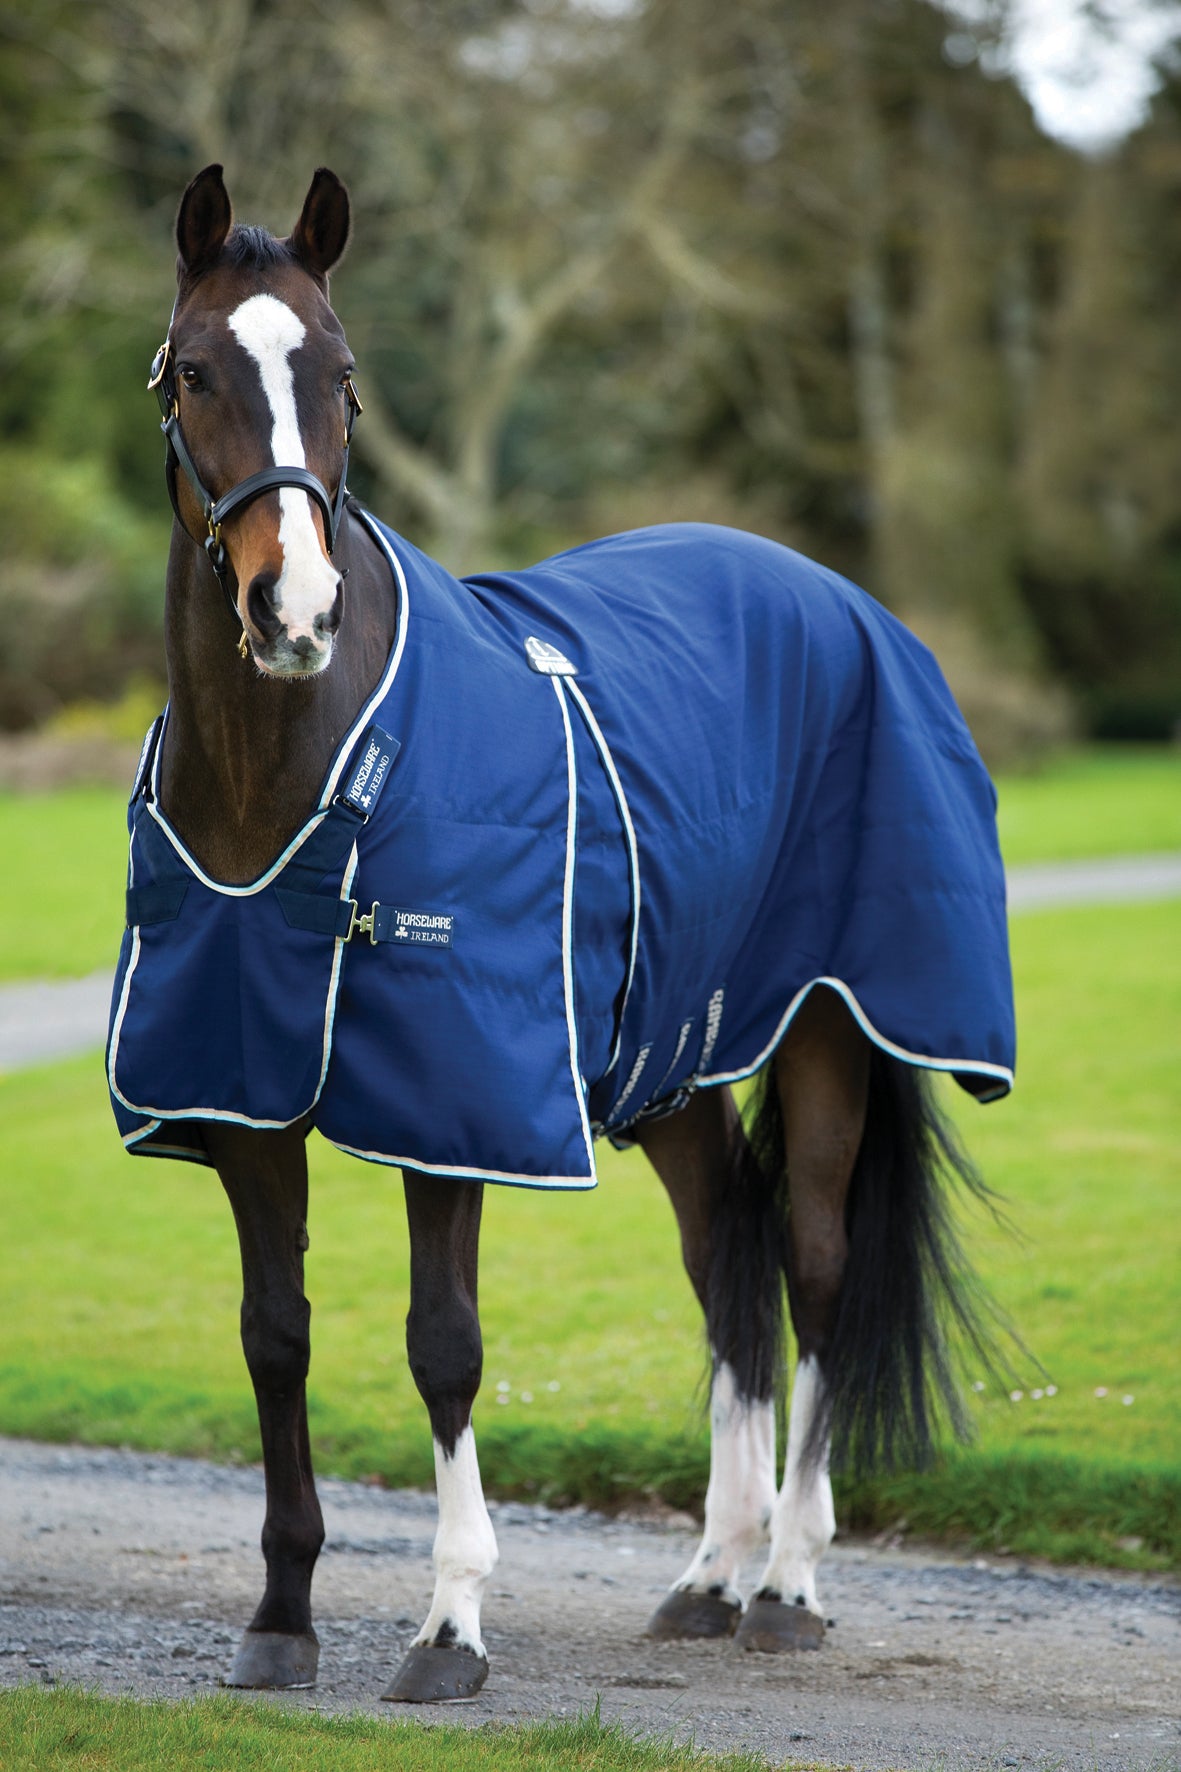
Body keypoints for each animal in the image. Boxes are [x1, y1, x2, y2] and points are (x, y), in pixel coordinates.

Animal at [106, 164, 1016, 1703]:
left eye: (344, 376)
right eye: (194, 370)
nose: (294, 610)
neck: (299, 767)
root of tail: (847, 602)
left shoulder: (456, 1102)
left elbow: (443, 1347)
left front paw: (450, 1627)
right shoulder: (243, 1097)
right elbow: (274, 1338)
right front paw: (281, 1618)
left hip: (829, 1026)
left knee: (814, 1265)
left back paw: (788, 1581)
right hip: (673, 1061)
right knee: (728, 1263)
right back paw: (710, 1573)